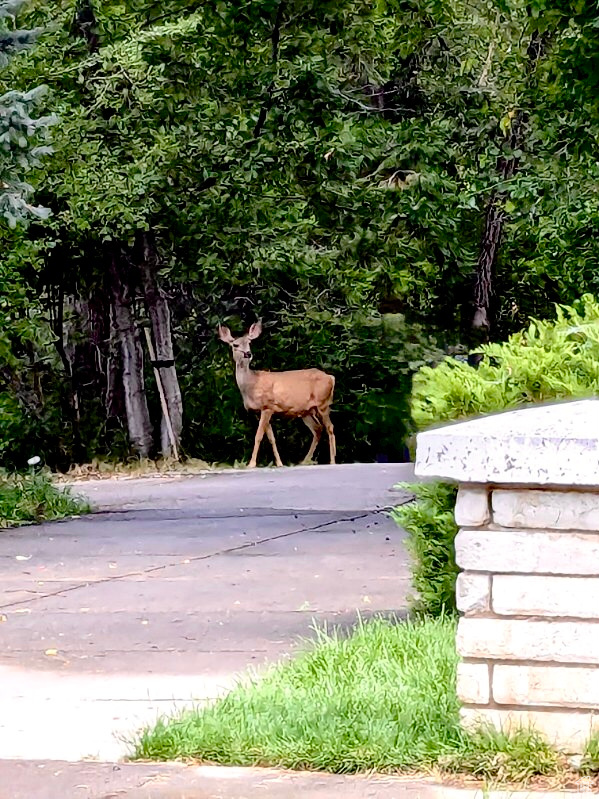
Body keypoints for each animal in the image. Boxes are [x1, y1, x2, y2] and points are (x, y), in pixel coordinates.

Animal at [218, 320, 336, 468]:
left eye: (249, 342)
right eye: (235, 345)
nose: (248, 354)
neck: (252, 384)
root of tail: (331, 377)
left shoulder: (267, 406)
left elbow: (258, 436)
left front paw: (251, 463)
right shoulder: (261, 410)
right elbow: (271, 438)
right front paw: (279, 463)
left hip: (323, 403)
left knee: (329, 427)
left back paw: (332, 460)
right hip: (306, 410)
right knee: (318, 429)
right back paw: (305, 461)